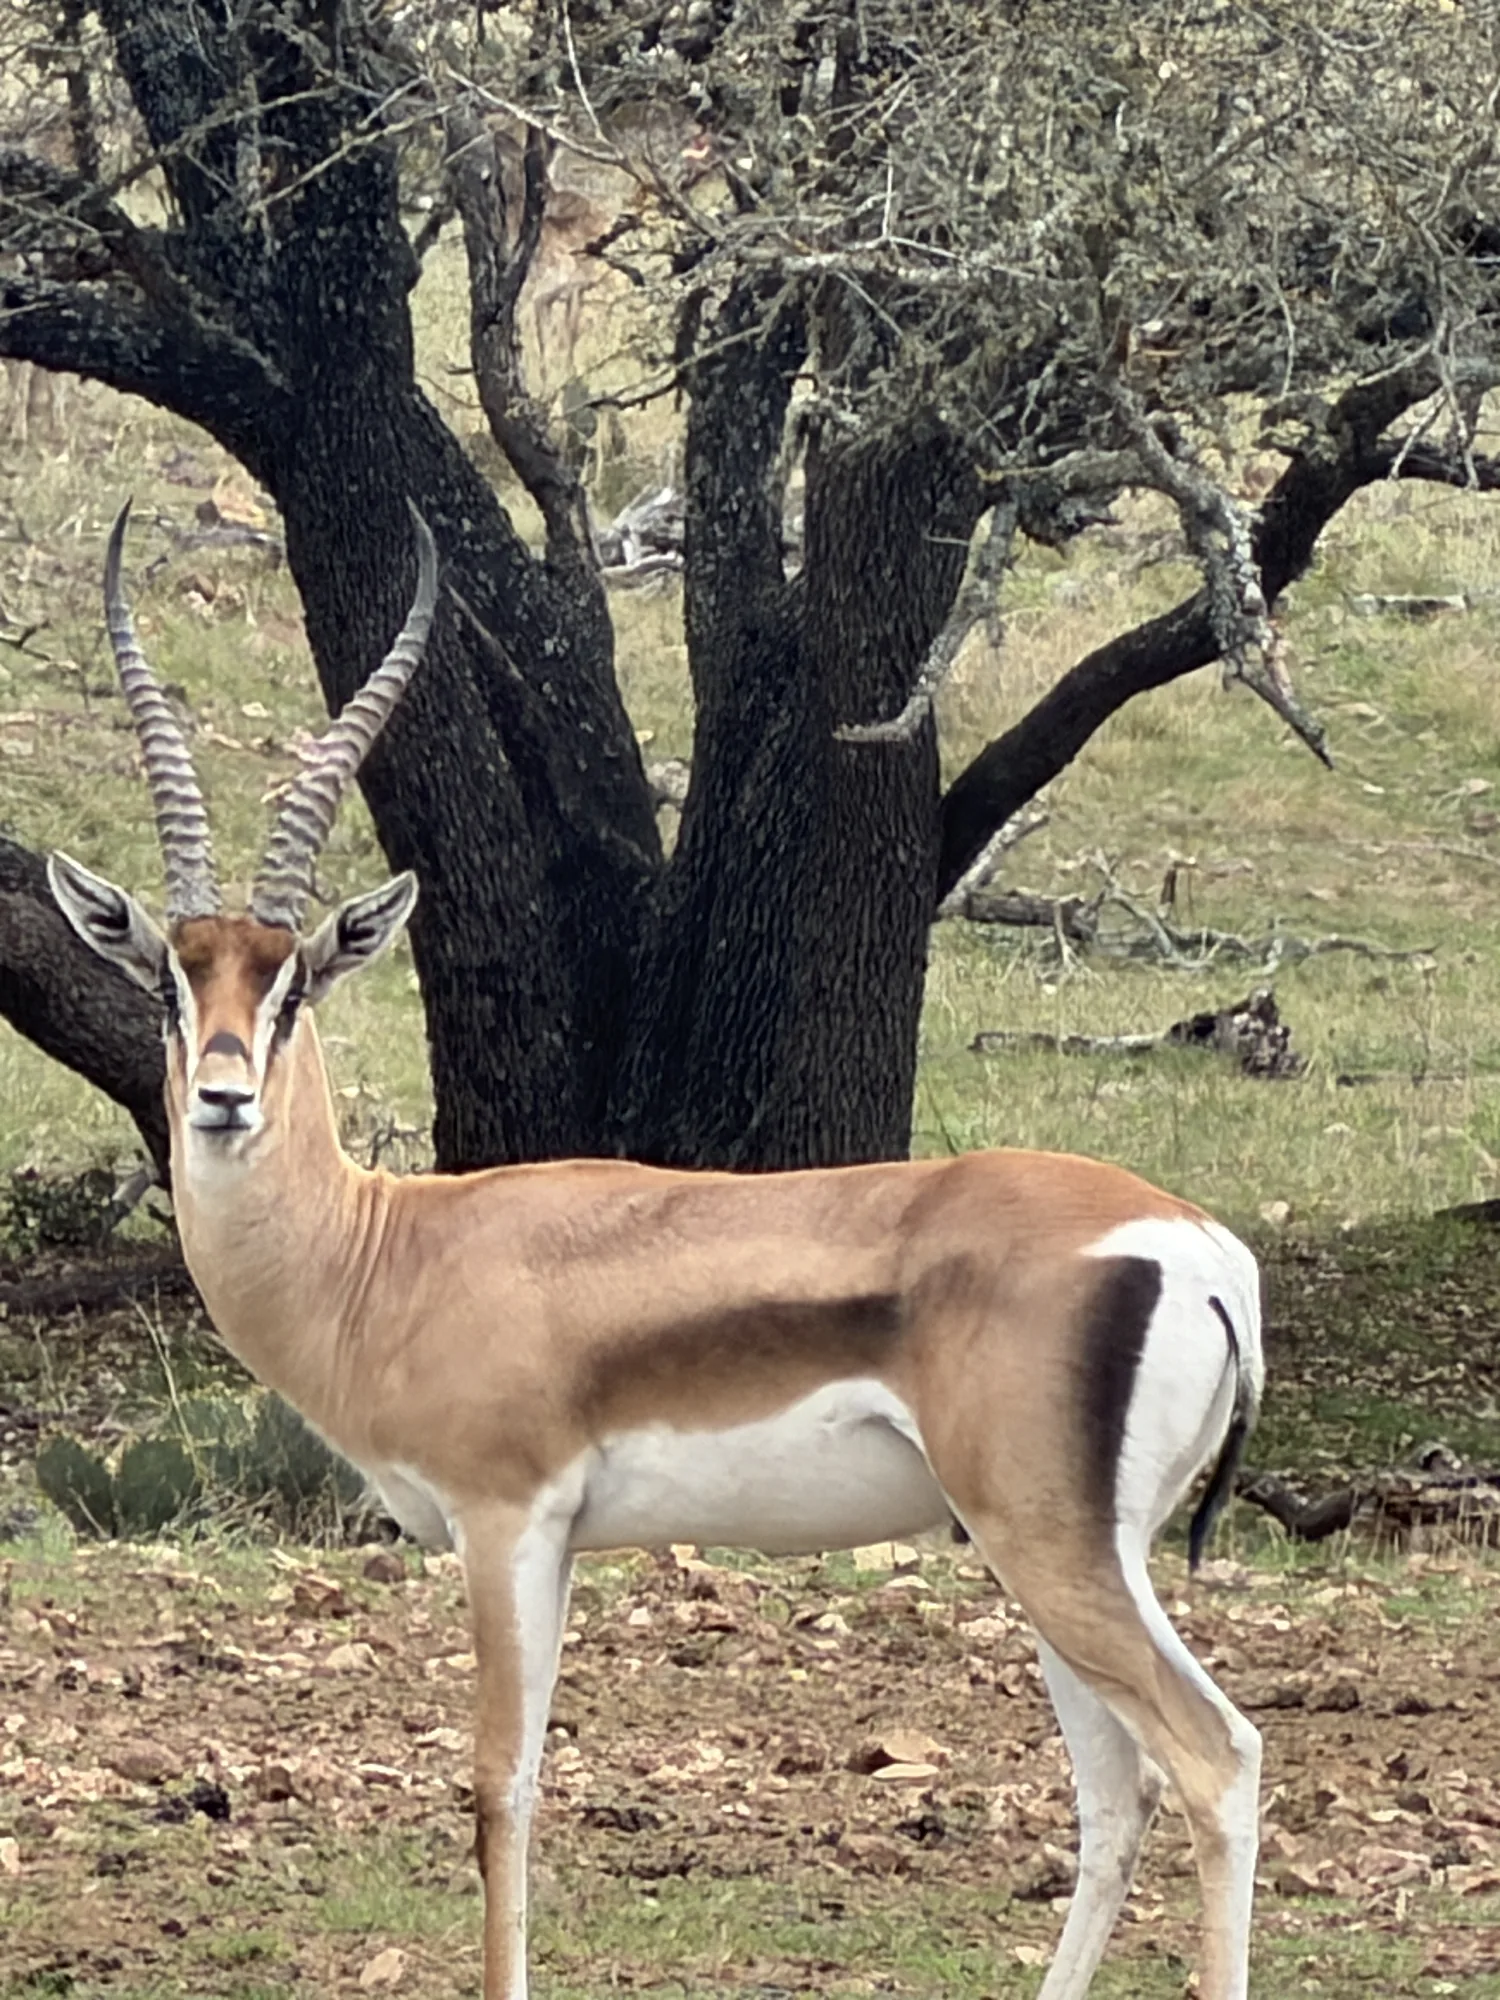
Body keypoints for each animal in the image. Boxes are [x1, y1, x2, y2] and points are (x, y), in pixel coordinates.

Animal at [49, 503, 1266, 2000]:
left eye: (295, 981)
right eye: (172, 977)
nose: (222, 1099)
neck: (390, 1255)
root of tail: (1202, 1249)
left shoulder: (504, 1521)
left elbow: (499, 1788)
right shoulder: (556, 1542)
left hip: (1053, 1548)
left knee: (1212, 1758)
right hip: (1068, 1555)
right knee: (1117, 1787)